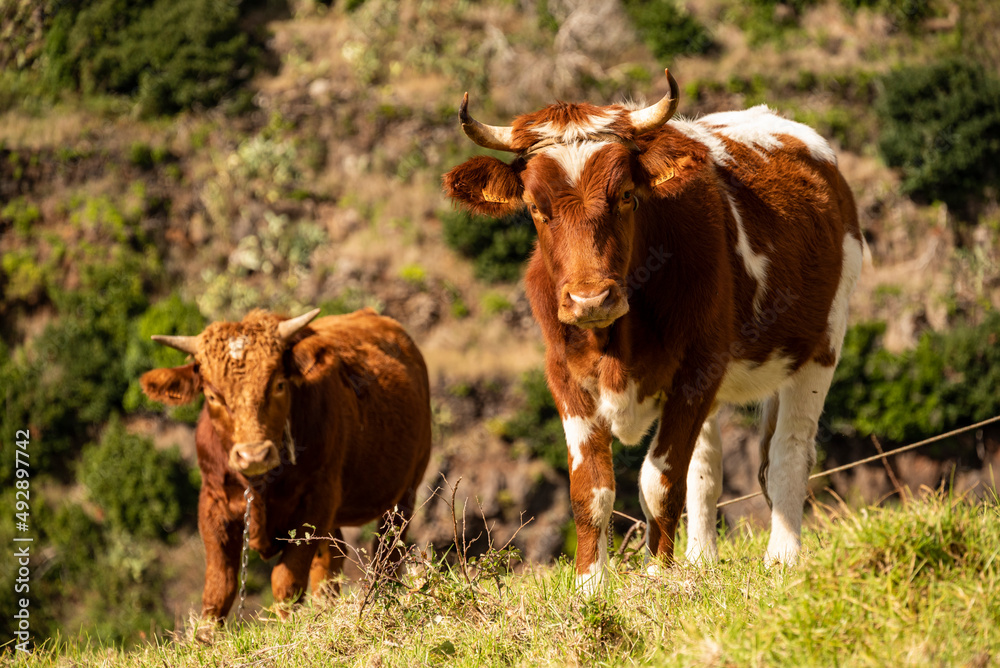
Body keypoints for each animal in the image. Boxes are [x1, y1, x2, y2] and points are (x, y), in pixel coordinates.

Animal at [142, 308, 434, 620]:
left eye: (279, 385)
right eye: (212, 396)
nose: (254, 455)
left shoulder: (316, 502)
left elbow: (286, 583)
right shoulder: (212, 504)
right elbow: (219, 589)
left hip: (405, 492)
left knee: (387, 555)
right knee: (333, 558)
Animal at [442, 68, 864, 588]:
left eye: (625, 195)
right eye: (536, 207)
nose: (590, 299)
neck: (616, 342)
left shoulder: (696, 371)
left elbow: (659, 480)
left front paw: (659, 576)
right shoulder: (564, 375)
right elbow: (592, 488)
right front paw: (590, 585)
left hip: (822, 343)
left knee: (789, 453)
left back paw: (782, 559)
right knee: (707, 469)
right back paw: (701, 559)